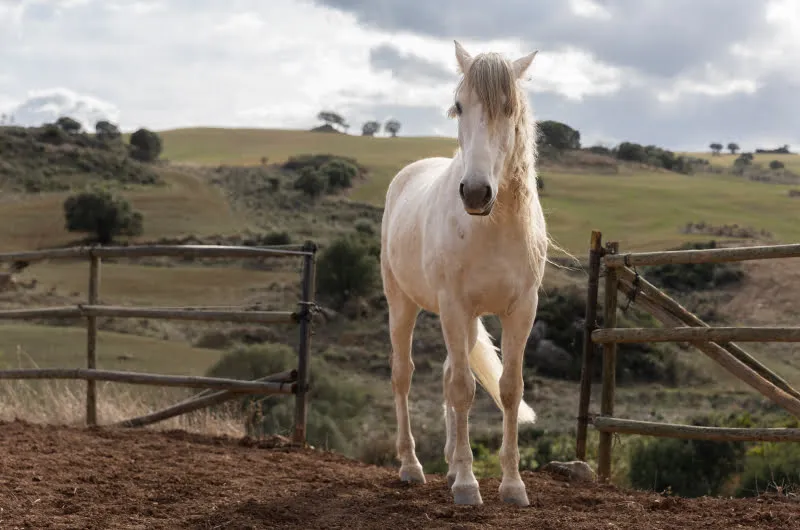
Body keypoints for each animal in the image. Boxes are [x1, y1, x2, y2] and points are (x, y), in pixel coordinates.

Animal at [379, 40, 548, 507]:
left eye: (509, 107)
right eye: (459, 106)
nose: (474, 193)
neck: (491, 226)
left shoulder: (521, 311)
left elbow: (508, 389)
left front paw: (512, 485)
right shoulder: (453, 307)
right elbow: (463, 390)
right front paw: (469, 487)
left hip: (469, 322)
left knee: (447, 374)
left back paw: (452, 463)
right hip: (402, 304)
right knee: (405, 375)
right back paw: (411, 466)